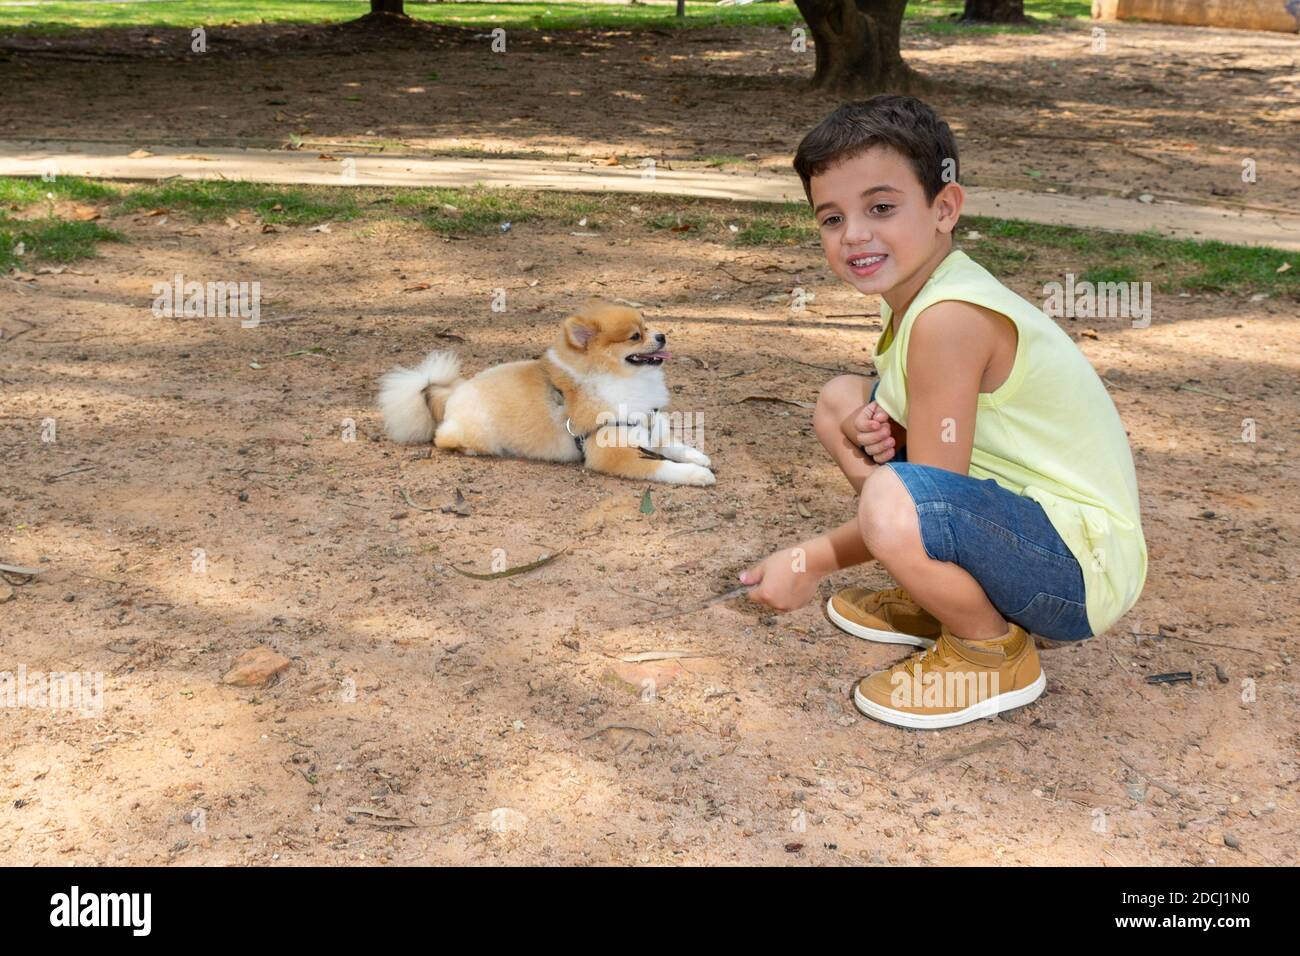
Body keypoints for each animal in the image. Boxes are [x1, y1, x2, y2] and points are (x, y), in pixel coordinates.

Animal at [377, 303, 717, 486]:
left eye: (647, 326)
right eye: (635, 336)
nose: (662, 335)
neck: (623, 379)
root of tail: (452, 395)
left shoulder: (646, 427)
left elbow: (673, 445)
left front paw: (697, 456)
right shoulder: (611, 453)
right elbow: (663, 466)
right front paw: (696, 474)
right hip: (477, 433)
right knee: (442, 438)